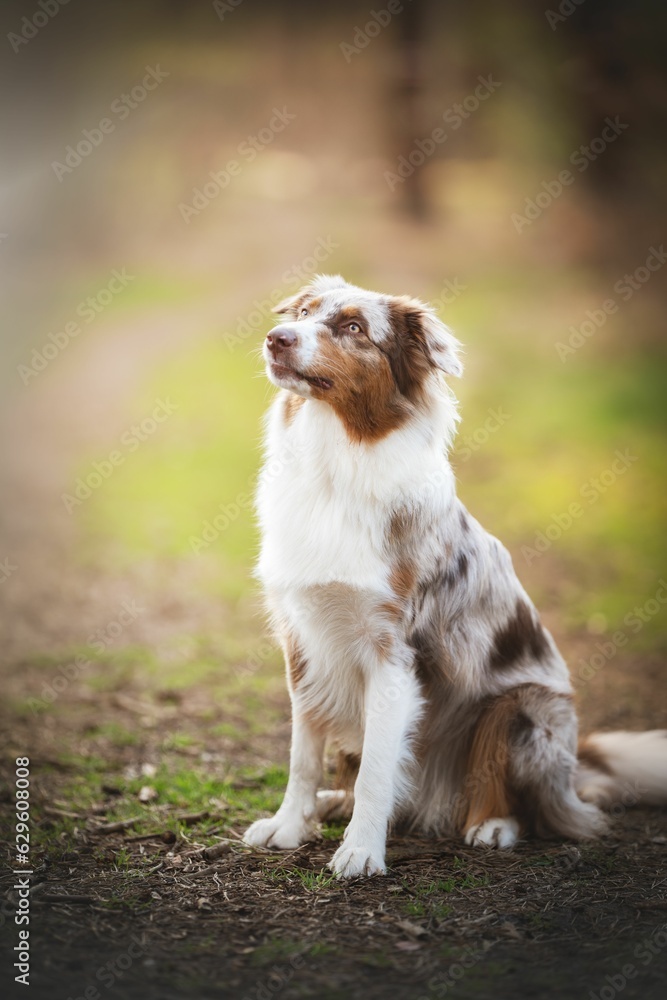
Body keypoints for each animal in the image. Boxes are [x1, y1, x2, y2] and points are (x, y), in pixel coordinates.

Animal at [244, 272, 667, 876]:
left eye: (354, 328)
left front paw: (360, 851)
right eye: (303, 313)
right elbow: (303, 752)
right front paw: (289, 825)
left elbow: (377, 769)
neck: (337, 460)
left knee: (526, 802)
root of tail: (573, 774)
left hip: (521, 708)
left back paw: (491, 825)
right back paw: (333, 803)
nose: (277, 338)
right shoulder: (303, 640)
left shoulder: (394, 652)